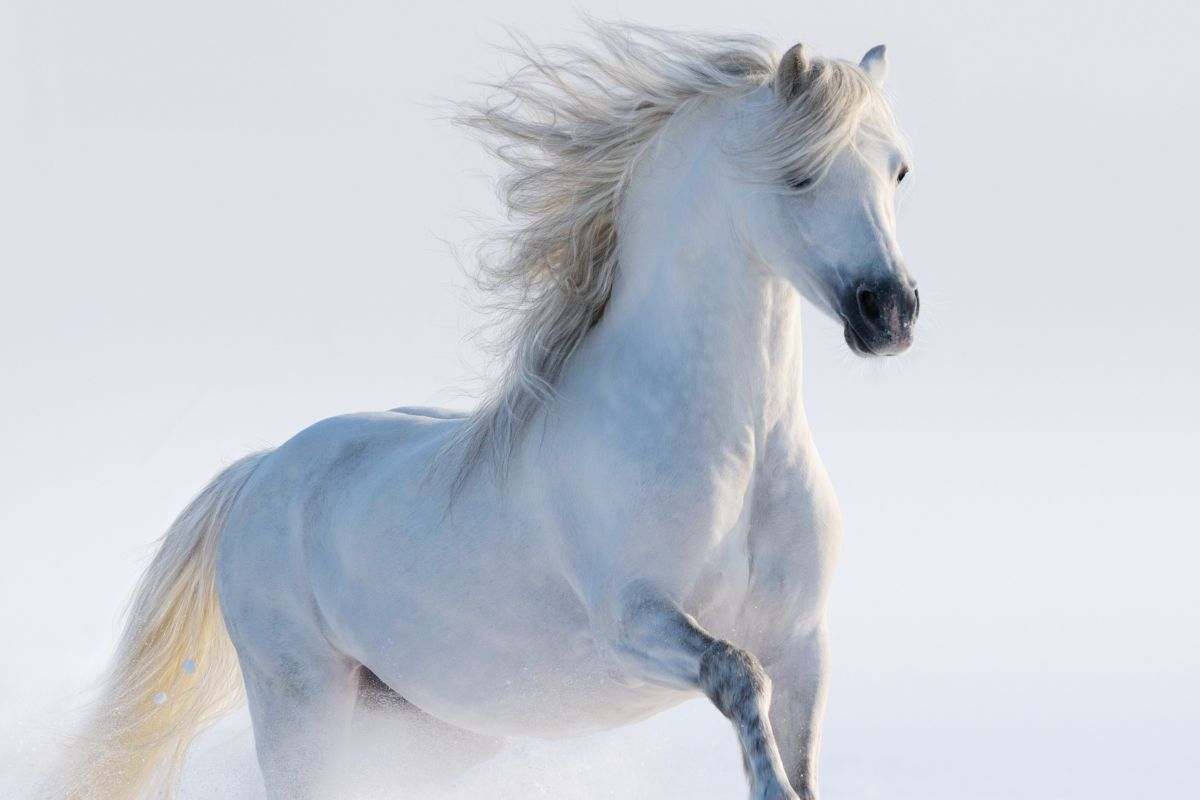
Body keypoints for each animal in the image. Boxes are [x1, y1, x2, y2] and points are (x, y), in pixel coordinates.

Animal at [62, 22, 919, 800]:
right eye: (800, 175)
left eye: (899, 171)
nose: (891, 312)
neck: (737, 446)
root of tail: (260, 470)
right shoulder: (635, 621)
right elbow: (737, 677)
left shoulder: (802, 643)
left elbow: (798, 749)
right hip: (300, 702)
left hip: (421, 728)